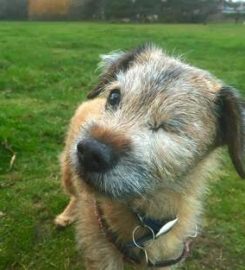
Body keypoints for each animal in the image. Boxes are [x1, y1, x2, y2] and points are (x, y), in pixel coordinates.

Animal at [54, 45, 244, 268]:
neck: (146, 218)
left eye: (169, 127)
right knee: (75, 193)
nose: (91, 151)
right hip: (67, 172)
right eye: (114, 97)